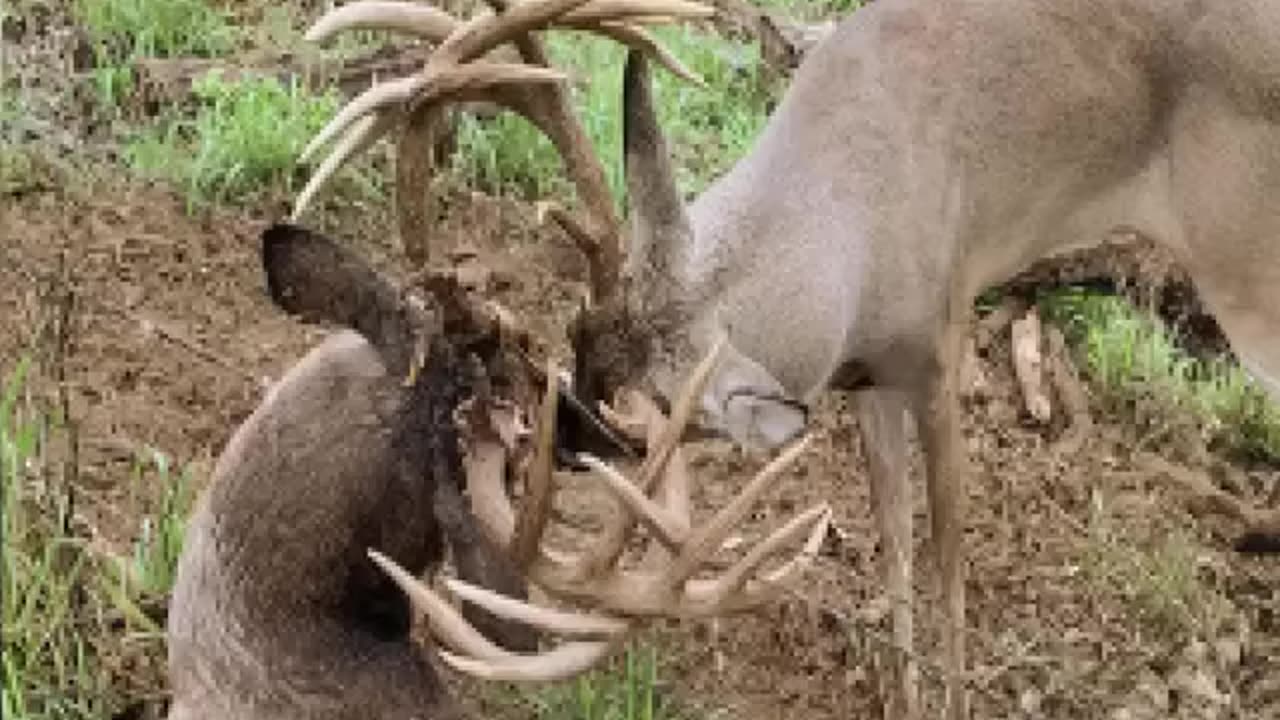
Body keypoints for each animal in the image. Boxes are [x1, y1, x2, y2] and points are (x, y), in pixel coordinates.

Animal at [293, 1, 1280, 717]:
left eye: (639, 413)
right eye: (573, 347)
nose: (564, 442)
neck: (855, 219)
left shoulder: (940, 344)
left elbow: (949, 564)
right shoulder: (868, 379)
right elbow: (895, 546)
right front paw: (905, 699)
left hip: (1248, 269)